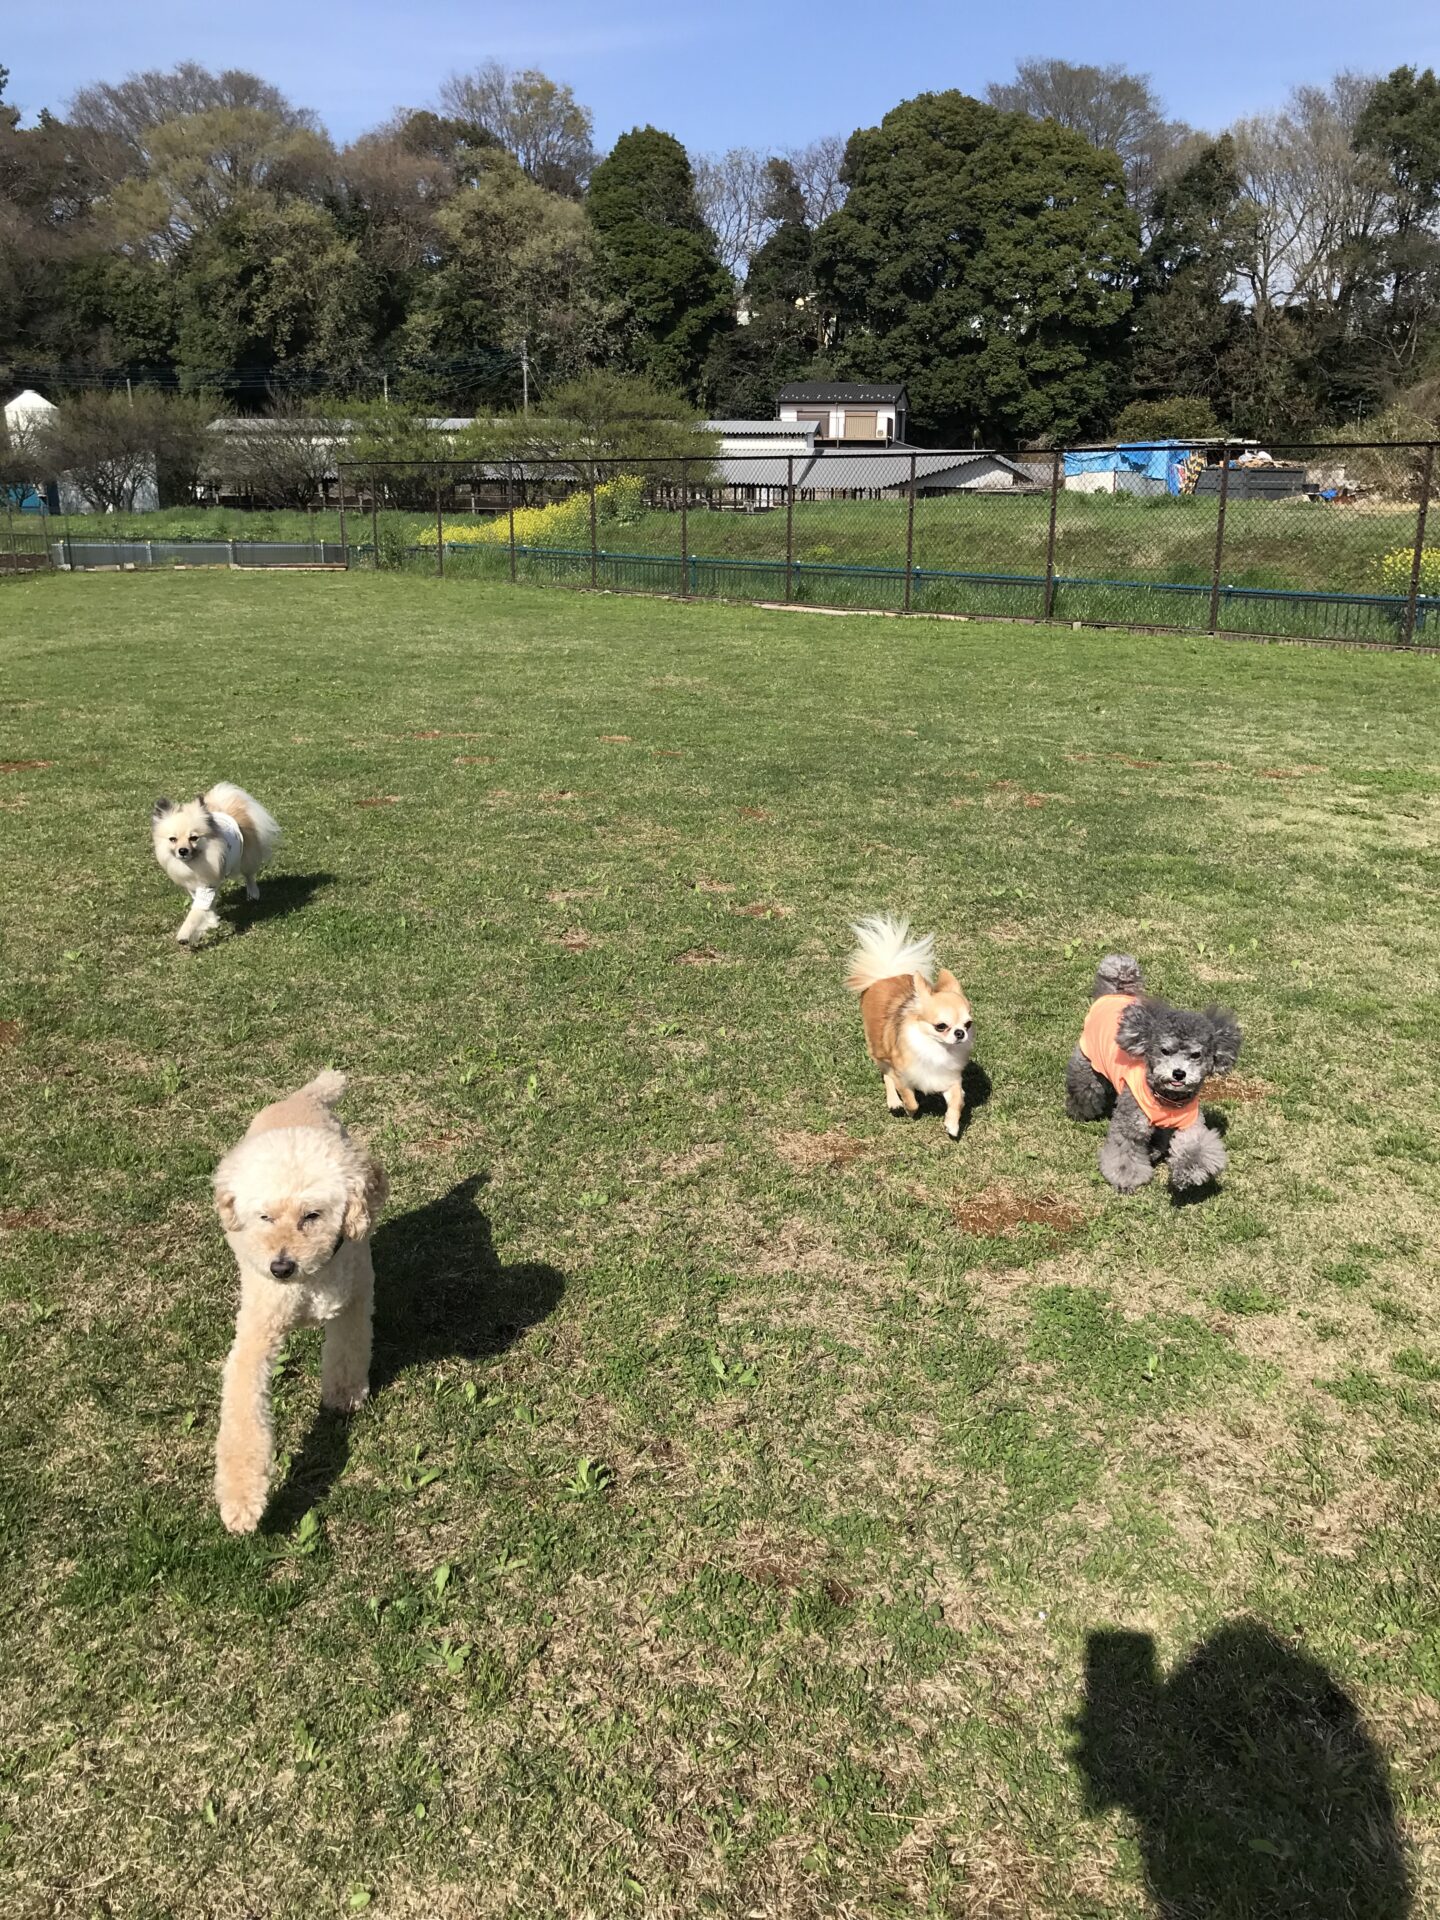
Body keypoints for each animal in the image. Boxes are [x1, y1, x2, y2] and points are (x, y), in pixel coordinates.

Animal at [151, 782, 280, 944]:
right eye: (172, 839)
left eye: (193, 838)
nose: (183, 851)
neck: (194, 864)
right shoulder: (196, 888)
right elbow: (207, 907)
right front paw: (212, 921)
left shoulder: (207, 886)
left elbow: (195, 914)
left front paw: (184, 934)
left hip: (246, 859)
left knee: (249, 875)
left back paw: (253, 894)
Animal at [212, 1070, 389, 1534]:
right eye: (264, 1217)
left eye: (312, 1215)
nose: (280, 1267)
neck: (310, 1281)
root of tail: (303, 1097)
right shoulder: (256, 1334)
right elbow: (243, 1413)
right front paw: (241, 1503)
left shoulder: (353, 1298)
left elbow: (347, 1352)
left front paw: (344, 1395)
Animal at [846, 915, 975, 1138]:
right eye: (941, 1026)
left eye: (968, 1024)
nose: (960, 1033)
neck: (936, 1048)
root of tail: (886, 976)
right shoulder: (902, 1074)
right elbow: (910, 1097)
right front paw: (909, 1109)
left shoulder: (949, 1078)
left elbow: (957, 1100)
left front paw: (952, 1124)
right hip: (878, 1050)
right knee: (886, 1075)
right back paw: (894, 1103)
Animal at [1065, 954, 1241, 1194]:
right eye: (1164, 1050)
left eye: (1196, 1055)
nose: (1179, 1073)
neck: (1167, 1100)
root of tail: (1111, 994)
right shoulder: (1132, 1123)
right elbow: (1125, 1152)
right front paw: (1127, 1180)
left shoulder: (1190, 1123)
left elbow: (1194, 1146)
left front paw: (1187, 1173)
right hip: (1086, 1063)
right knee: (1085, 1090)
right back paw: (1079, 1111)